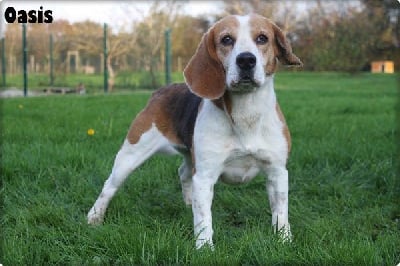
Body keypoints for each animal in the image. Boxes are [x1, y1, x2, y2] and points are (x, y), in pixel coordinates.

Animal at [87, 13, 300, 249]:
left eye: (262, 38)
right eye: (226, 39)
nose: (246, 60)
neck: (247, 113)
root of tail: (162, 90)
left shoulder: (277, 172)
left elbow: (280, 212)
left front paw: (284, 240)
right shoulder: (205, 176)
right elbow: (204, 219)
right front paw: (205, 248)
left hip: (190, 157)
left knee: (183, 173)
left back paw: (188, 204)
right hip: (130, 155)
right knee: (109, 185)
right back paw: (94, 217)